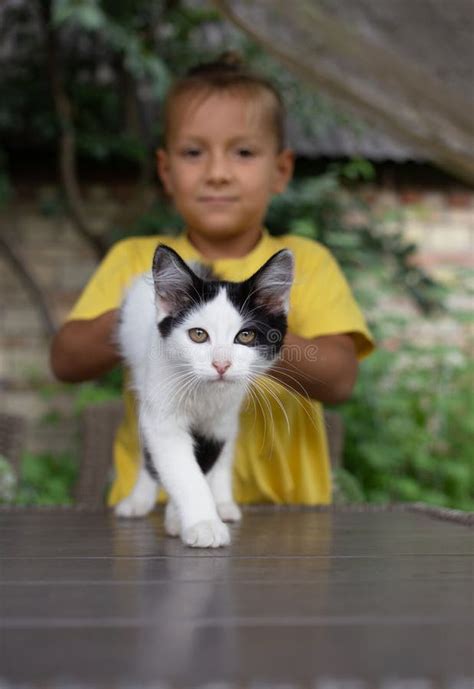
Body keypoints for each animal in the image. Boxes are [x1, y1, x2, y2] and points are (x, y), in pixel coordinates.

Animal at [115, 245, 292, 544]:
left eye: (246, 336)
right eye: (198, 334)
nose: (221, 365)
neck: (203, 392)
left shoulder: (219, 422)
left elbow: (207, 461)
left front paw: (180, 517)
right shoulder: (161, 413)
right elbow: (182, 469)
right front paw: (203, 524)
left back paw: (223, 502)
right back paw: (138, 501)